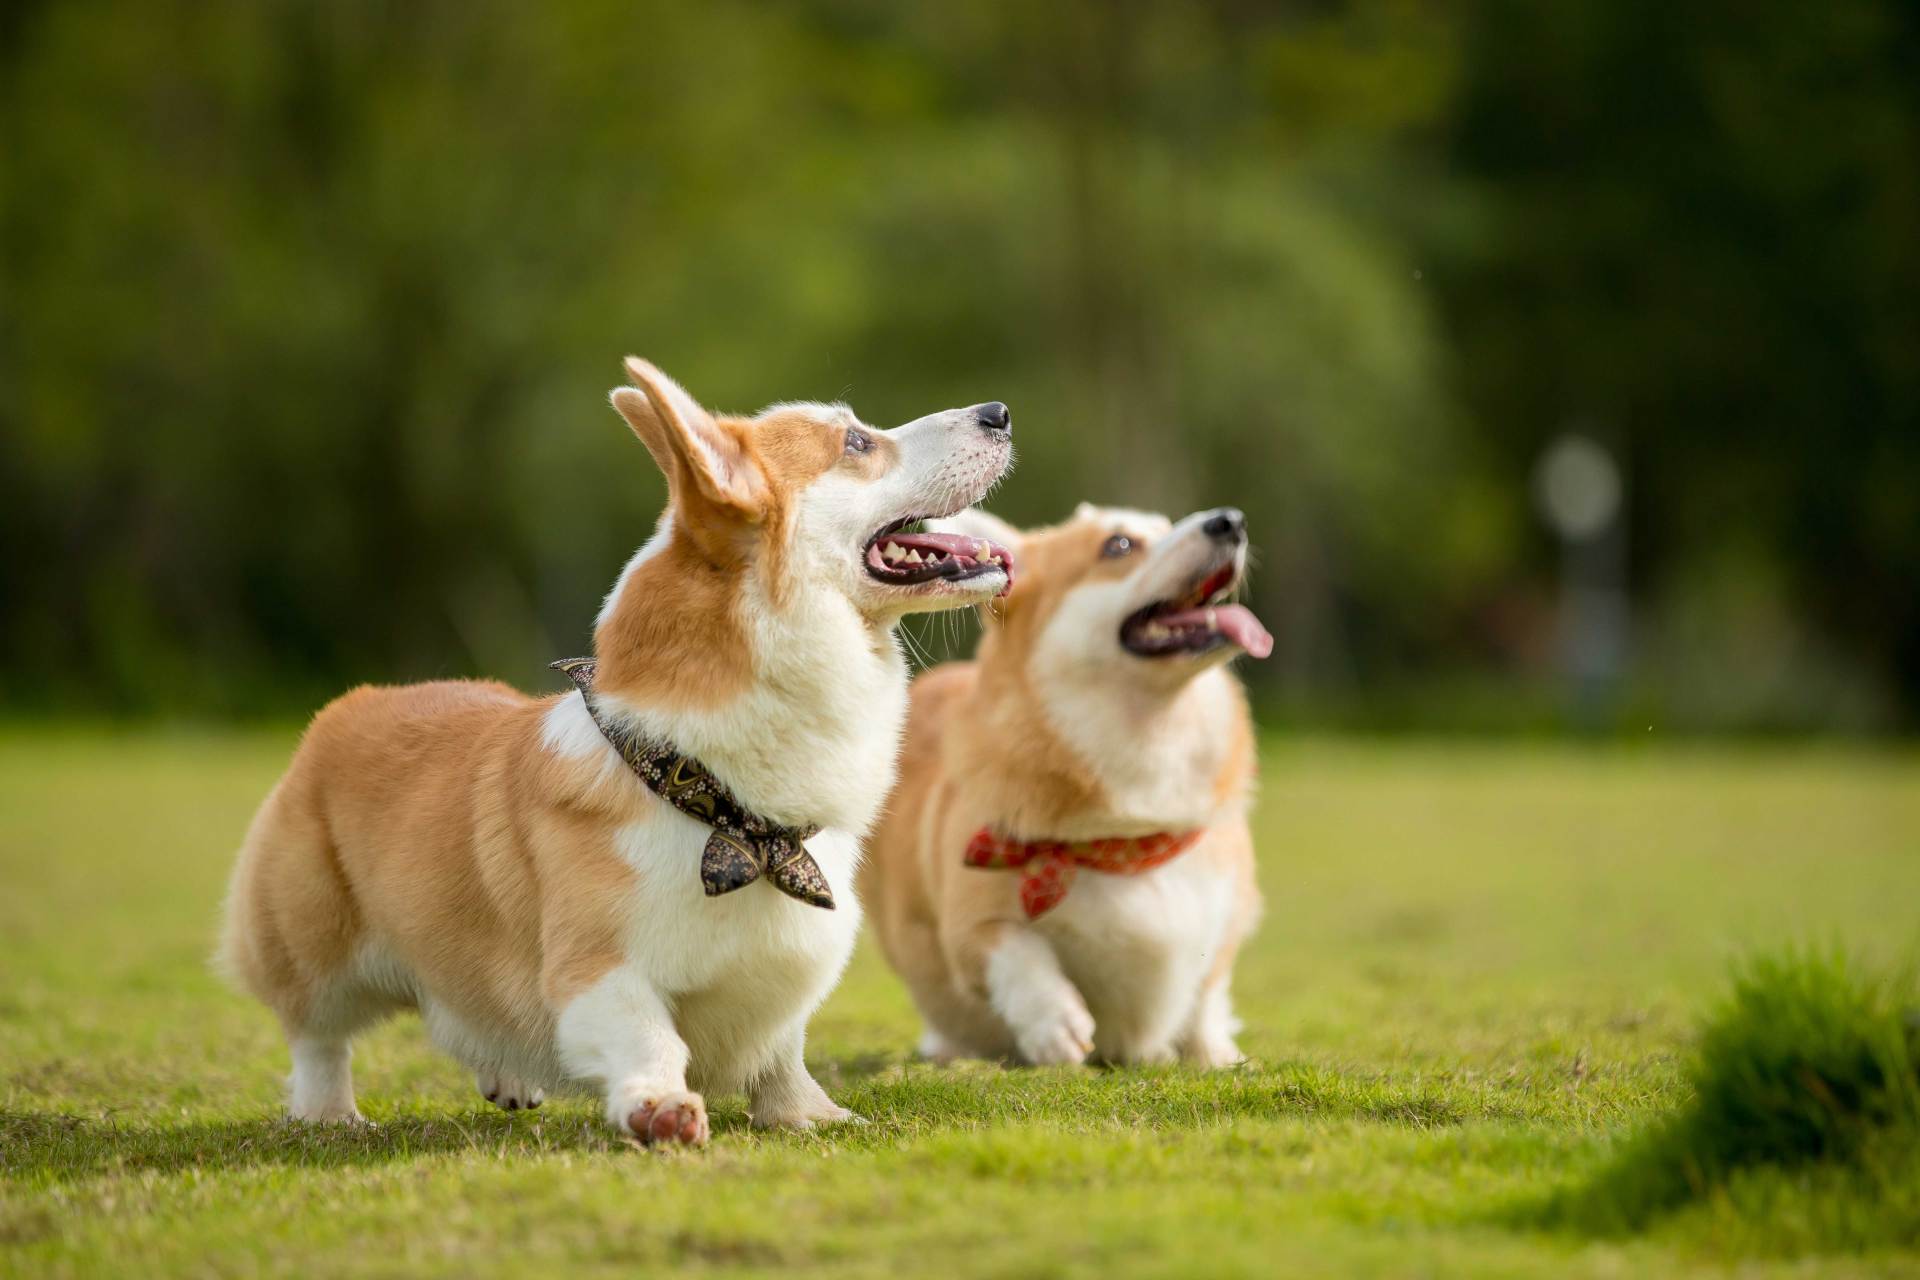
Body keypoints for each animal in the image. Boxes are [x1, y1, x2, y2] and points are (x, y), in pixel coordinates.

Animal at [217, 355, 1013, 1143]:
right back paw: (329, 1112)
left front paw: (807, 1113)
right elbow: (647, 1035)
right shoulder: (595, 968)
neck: (721, 806)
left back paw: (508, 1077)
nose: (999, 413)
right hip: (311, 942)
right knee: (317, 1033)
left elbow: (782, 1050)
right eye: (855, 442)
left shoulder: (784, 969)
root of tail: (350, 706)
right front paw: (660, 1108)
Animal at [864, 498, 1267, 1074]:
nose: (1230, 521)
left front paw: (1215, 1055)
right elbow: (1018, 951)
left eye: (1166, 526)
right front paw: (1055, 1025)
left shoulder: (1224, 918)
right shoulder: (972, 923)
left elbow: (1206, 993)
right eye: (1118, 545)